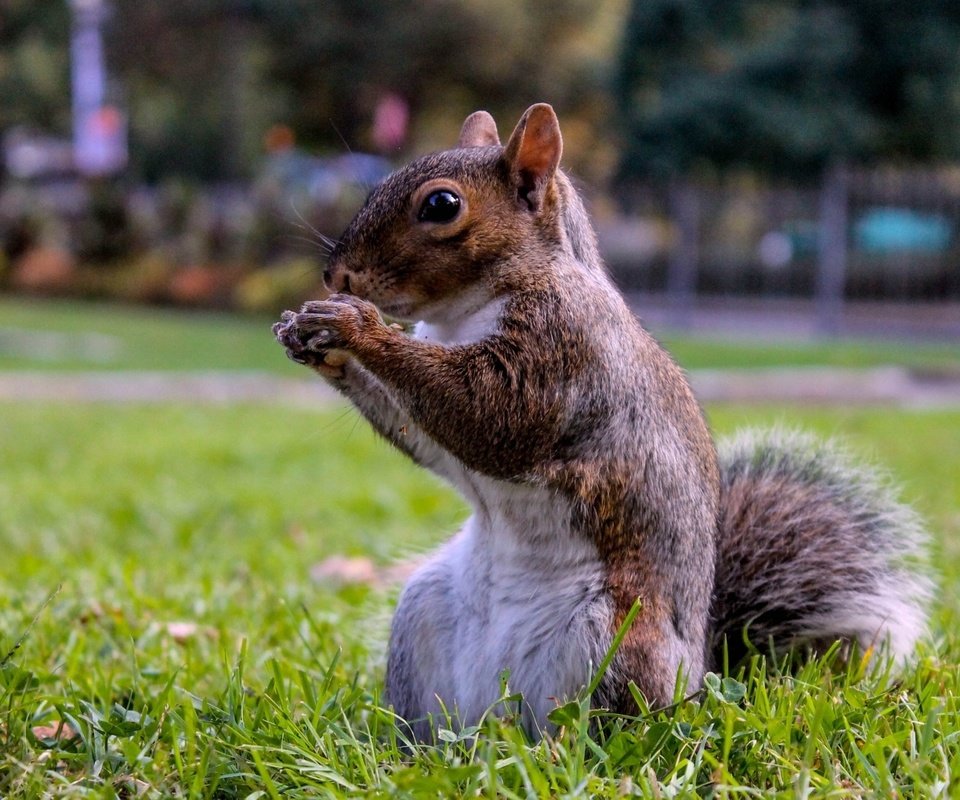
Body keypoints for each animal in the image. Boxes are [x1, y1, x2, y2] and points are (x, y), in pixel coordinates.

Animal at [274, 103, 932, 740]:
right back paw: (413, 748)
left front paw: (355, 327)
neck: (466, 312)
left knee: (606, 731)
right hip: (423, 612)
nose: (337, 276)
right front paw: (315, 342)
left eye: (441, 205)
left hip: (610, 639)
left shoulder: (563, 347)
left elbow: (490, 417)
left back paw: (560, 747)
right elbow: (427, 435)